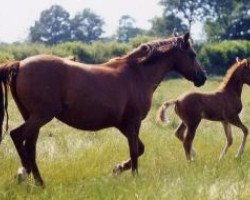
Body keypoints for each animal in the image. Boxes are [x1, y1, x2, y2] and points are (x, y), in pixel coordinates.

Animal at [0, 32, 206, 186]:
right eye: (193, 55)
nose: (202, 77)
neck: (137, 74)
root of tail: (19, 64)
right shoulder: (133, 123)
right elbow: (134, 151)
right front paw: (133, 176)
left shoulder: (123, 125)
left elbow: (139, 149)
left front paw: (118, 169)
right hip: (41, 116)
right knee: (17, 136)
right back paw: (24, 173)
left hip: (33, 117)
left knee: (30, 146)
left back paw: (38, 181)